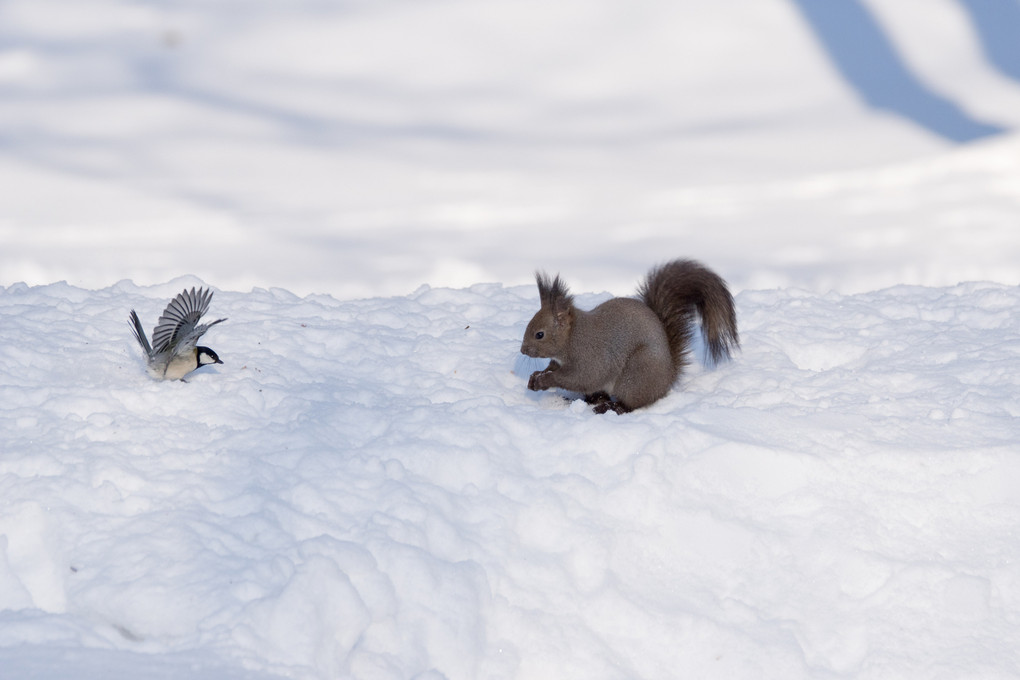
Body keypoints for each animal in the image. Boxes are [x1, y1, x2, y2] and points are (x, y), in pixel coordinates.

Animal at [522, 257, 738, 411]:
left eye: (539, 334)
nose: (523, 350)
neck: (572, 336)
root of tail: (668, 377)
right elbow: (554, 367)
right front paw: (536, 375)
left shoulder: (590, 357)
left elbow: (580, 378)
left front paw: (546, 380)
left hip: (636, 373)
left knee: (632, 404)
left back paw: (612, 406)